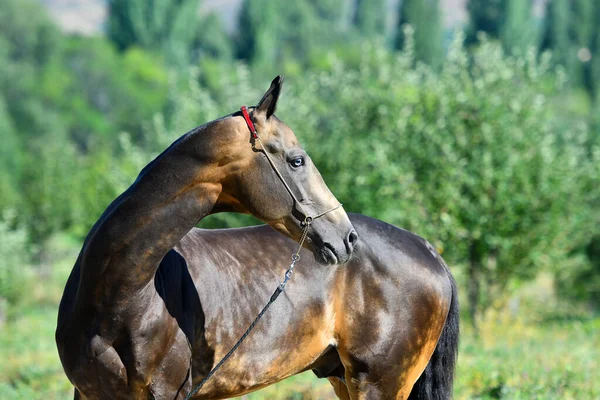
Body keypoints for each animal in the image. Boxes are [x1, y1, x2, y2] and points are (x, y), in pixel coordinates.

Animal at [57, 76, 460, 400]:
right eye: (297, 160)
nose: (346, 238)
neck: (118, 296)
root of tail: (429, 250)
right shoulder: (89, 393)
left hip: (378, 384)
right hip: (343, 379)